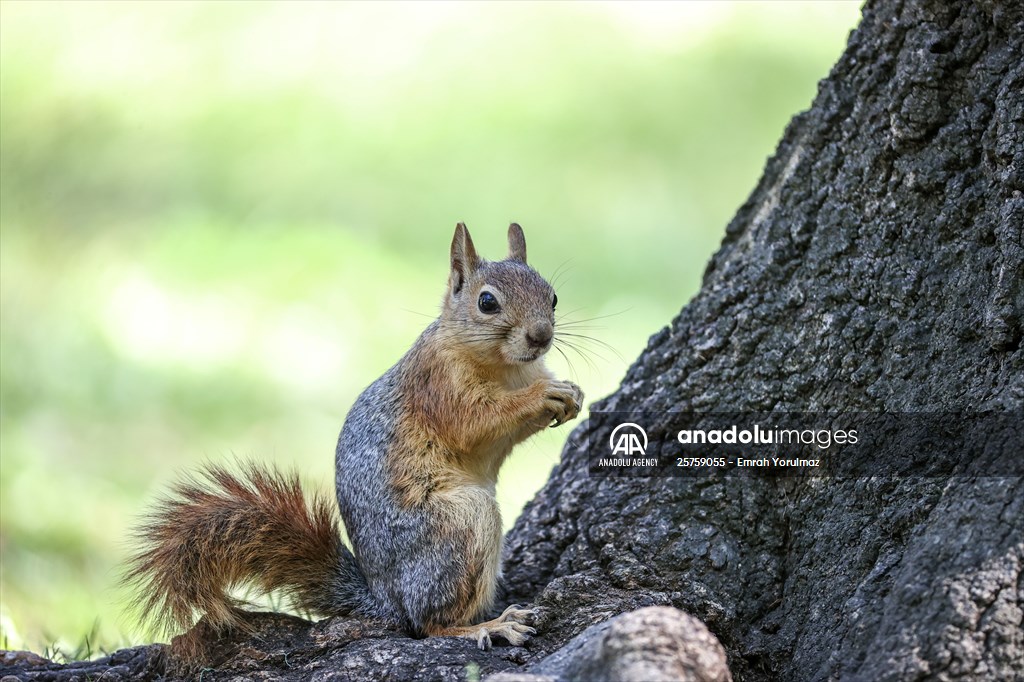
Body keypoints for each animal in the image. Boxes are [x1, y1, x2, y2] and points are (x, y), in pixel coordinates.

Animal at [124, 222, 584, 652]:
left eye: (553, 297)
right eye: (487, 302)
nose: (541, 336)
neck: (508, 368)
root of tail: (385, 600)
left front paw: (572, 395)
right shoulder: (438, 386)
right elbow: (475, 423)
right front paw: (544, 395)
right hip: (460, 524)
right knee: (427, 624)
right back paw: (487, 625)